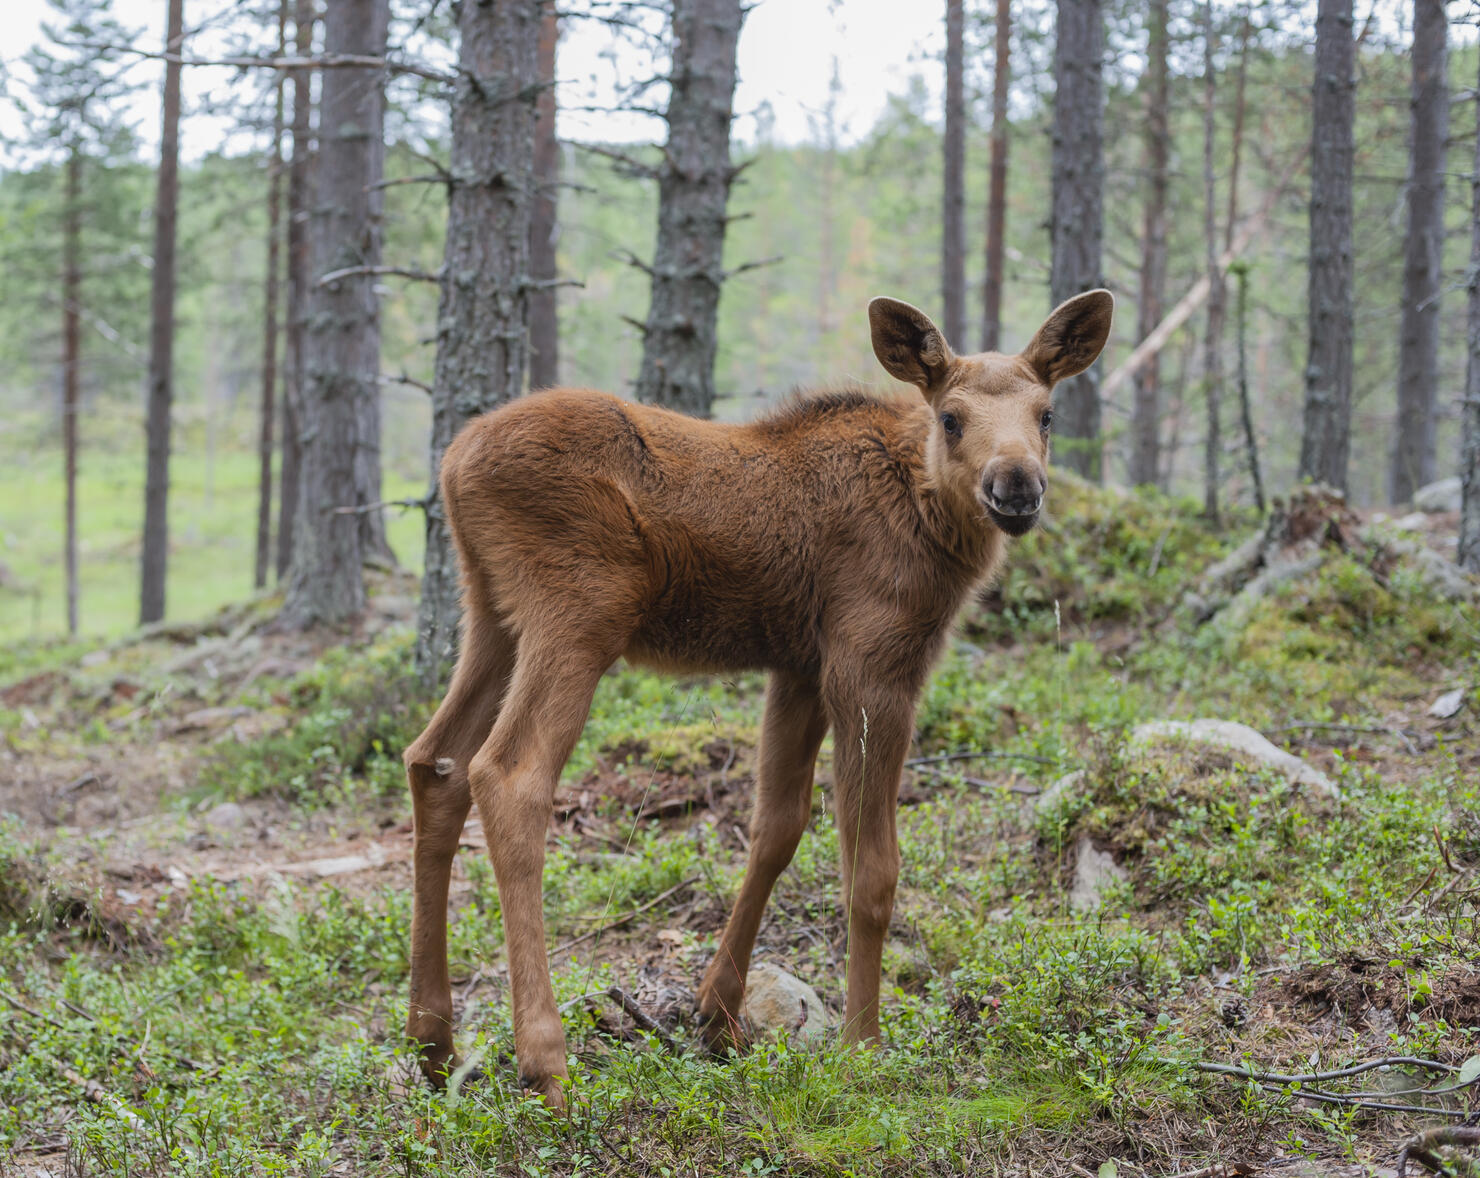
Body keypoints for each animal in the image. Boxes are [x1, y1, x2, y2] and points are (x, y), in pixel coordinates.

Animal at [405, 287, 1112, 1106]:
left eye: (1047, 414)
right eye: (951, 418)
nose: (1016, 487)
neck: (931, 517)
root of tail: (453, 463)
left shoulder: (798, 666)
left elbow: (776, 828)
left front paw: (718, 1016)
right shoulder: (870, 665)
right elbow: (870, 871)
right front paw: (862, 1046)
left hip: (490, 614)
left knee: (434, 761)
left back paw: (432, 1040)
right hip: (578, 613)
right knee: (508, 774)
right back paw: (545, 1062)